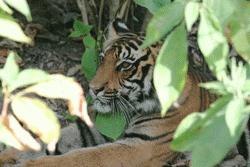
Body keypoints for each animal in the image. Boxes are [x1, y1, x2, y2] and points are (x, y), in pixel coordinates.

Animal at [18, 19, 219, 167]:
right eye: (102, 59)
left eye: (125, 66)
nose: (93, 88)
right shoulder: (97, 126)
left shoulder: (142, 147)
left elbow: (85, 157)